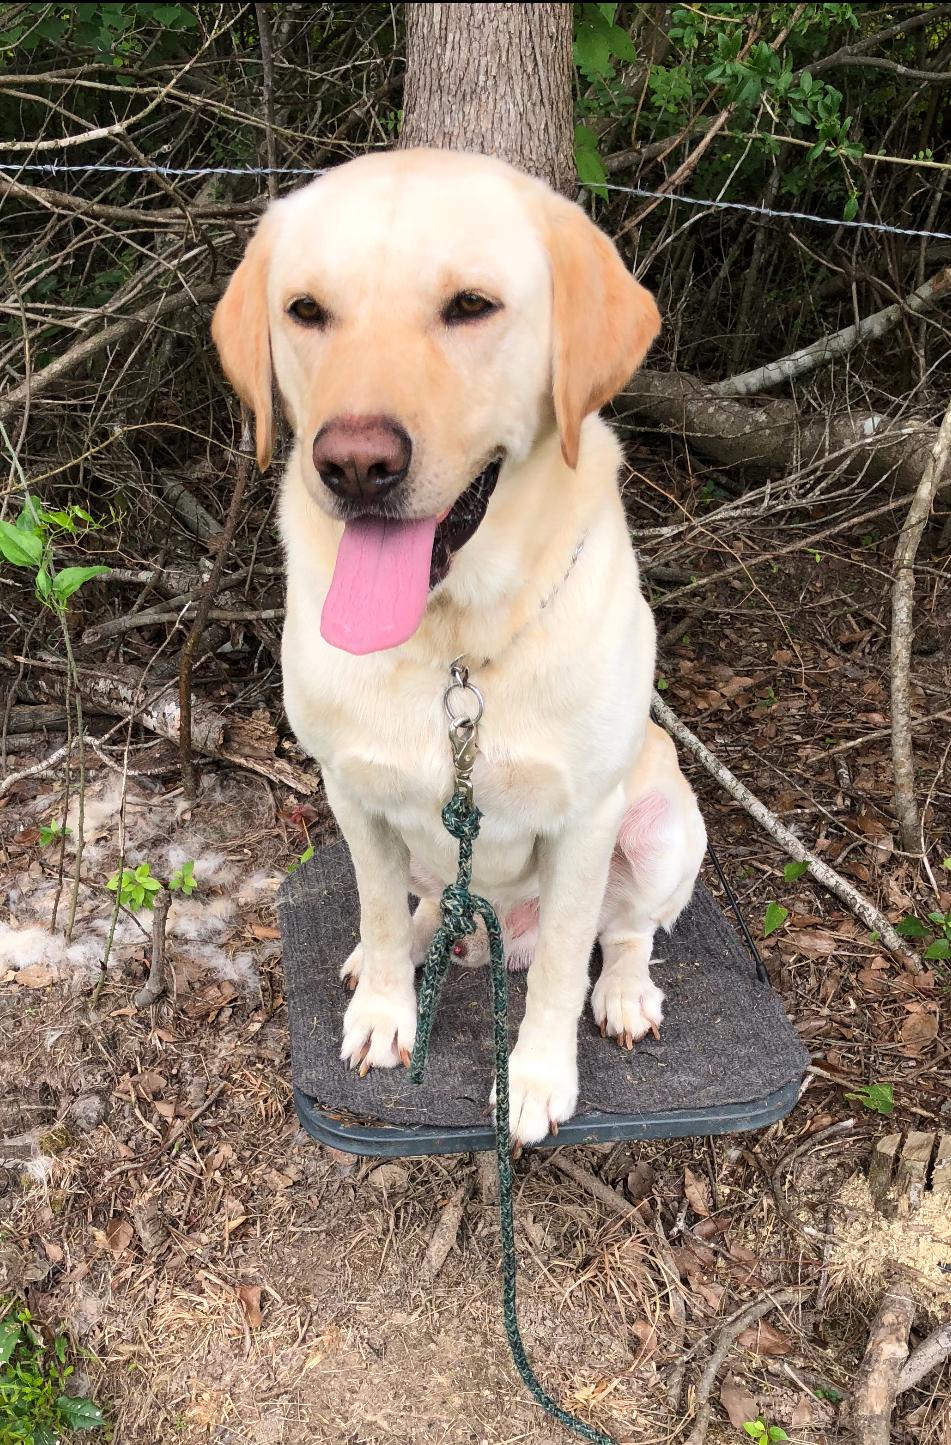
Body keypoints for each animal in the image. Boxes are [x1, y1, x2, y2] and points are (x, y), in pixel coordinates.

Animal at [215, 146, 702, 1138]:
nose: (354, 464)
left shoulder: (585, 818)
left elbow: (563, 962)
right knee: (425, 905)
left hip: (669, 825)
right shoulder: (351, 792)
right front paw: (383, 1010)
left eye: (471, 305)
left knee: (627, 930)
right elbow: (372, 906)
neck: (453, 647)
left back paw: (623, 992)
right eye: (306, 310)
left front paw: (537, 1077)